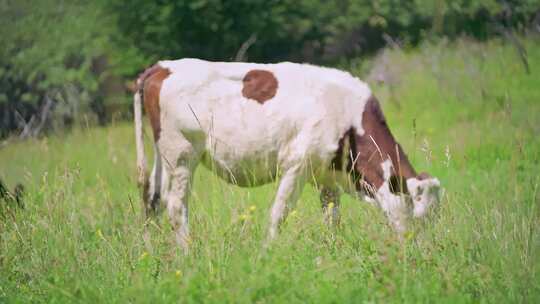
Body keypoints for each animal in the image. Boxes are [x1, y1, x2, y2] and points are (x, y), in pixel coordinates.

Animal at [133, 58, 440, 251]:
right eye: (420, 215)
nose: (423, 252)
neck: (349, 116)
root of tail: (162, 67)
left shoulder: (327, 177)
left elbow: (332, 217)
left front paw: (332, 250)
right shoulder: (297, 165)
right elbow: (279, 212)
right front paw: (267, 251)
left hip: (163, 155)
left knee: (152, 199)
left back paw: (149, 251)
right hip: (181, 154)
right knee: (175, 205)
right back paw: (186, 252)